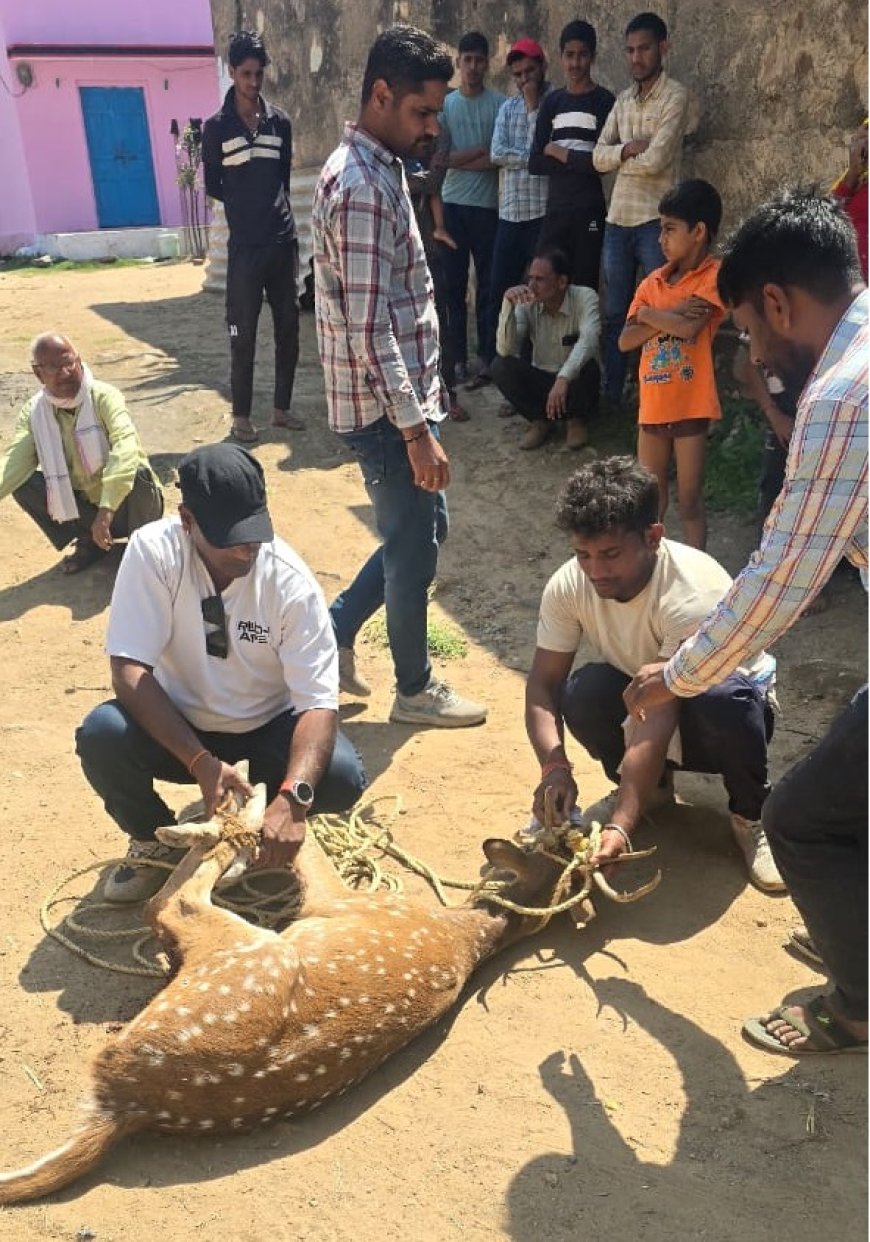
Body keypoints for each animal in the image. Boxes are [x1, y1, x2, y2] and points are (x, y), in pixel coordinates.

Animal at [0, 784, 564, 1202]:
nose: (547, 816)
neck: (467, 933)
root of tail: (119, 1105)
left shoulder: (340, 900)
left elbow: (305, 846)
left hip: (245, 951)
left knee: (166, 902)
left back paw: (222, 821)